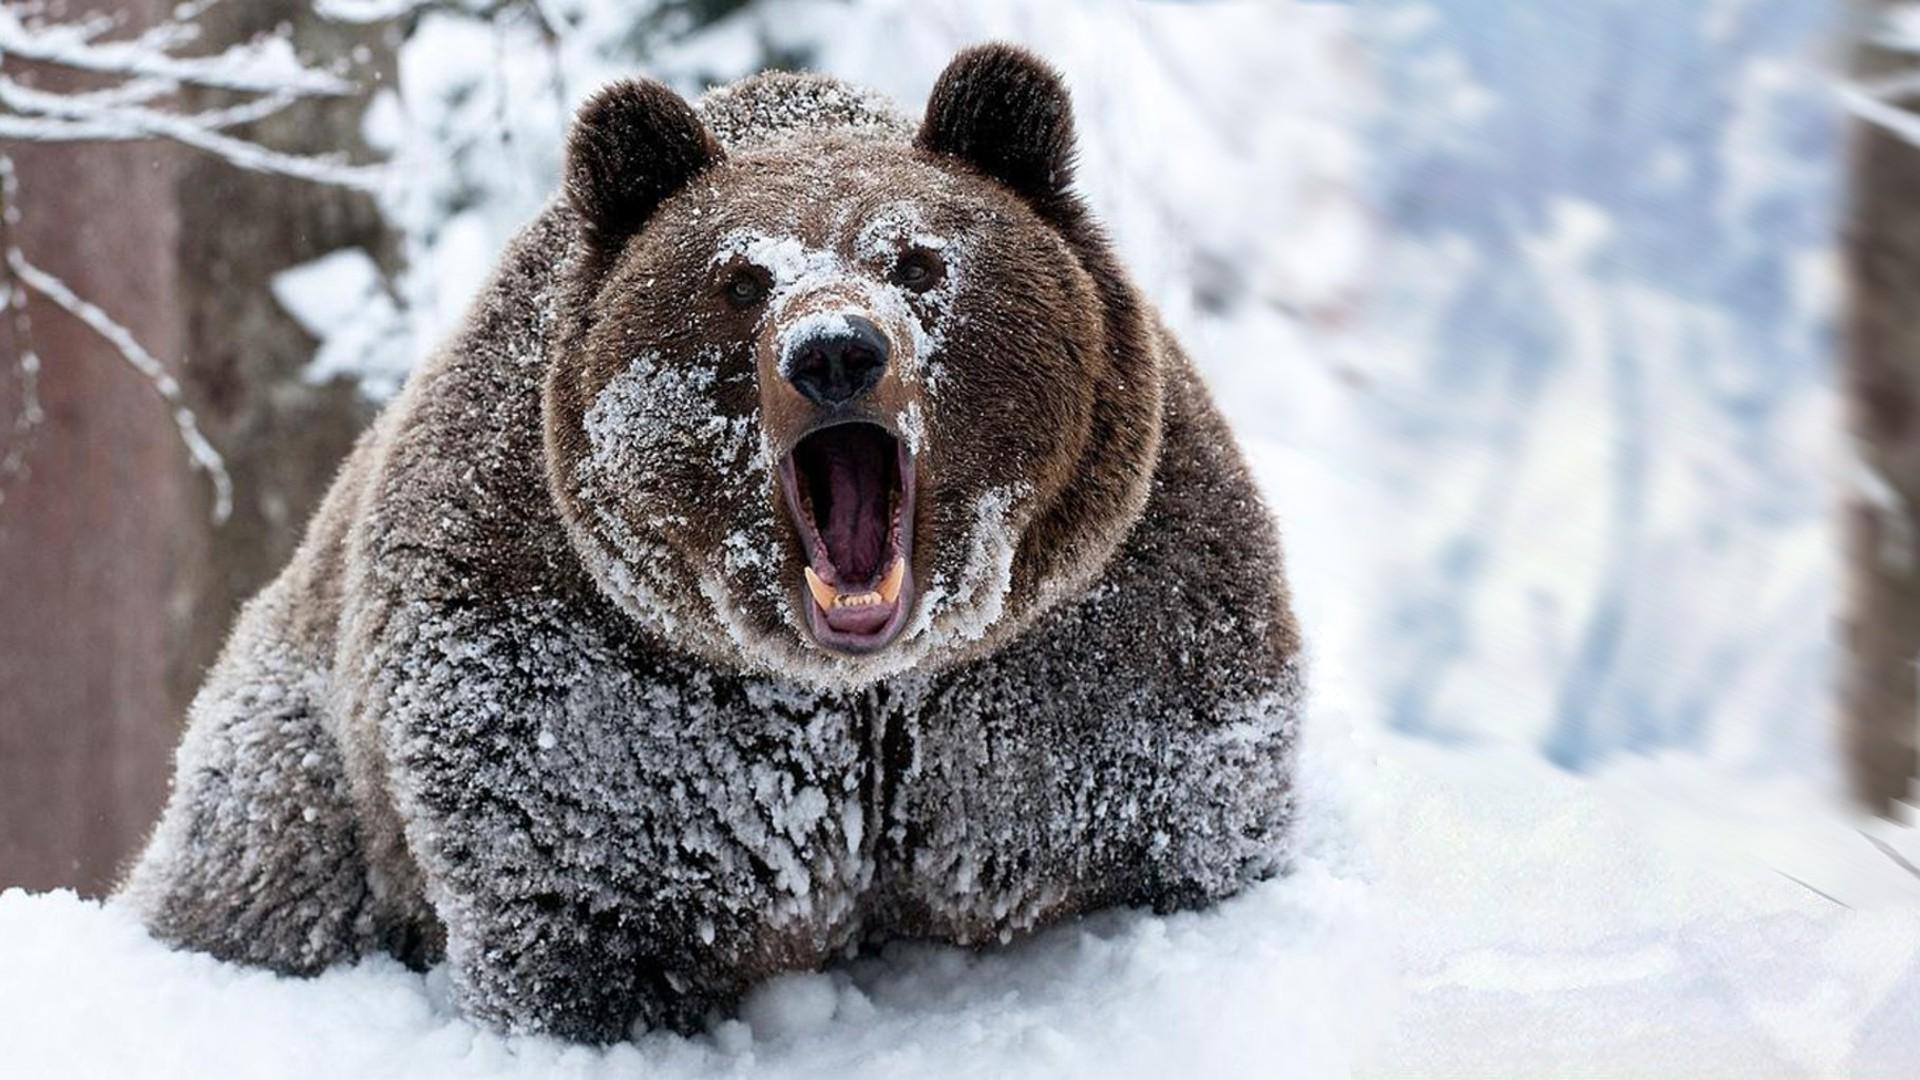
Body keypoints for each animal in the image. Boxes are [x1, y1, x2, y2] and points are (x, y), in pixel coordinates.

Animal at [117, 45, 1304, 1043]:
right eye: (739, 280)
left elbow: (1170, 815)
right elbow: (583, 902)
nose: (836, 351)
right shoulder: (592, 680)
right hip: (298, 754)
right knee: (264, 869)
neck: (858, 690)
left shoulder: (1085, 645)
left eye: (919, 261)